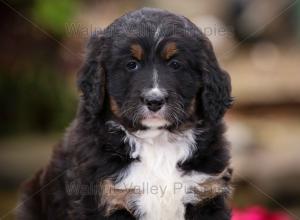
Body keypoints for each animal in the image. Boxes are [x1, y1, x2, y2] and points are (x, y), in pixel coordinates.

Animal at [16, 7, 233, 220]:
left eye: (175, 64)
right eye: (131, 64)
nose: (154, 101)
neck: (157, 142)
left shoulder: (207, 193)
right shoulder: (105, 198)